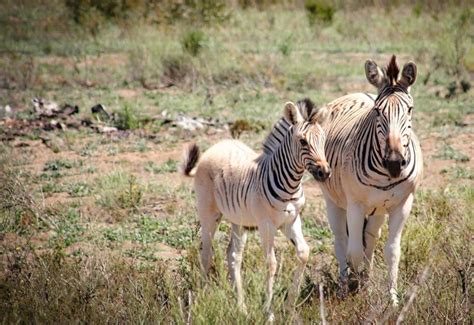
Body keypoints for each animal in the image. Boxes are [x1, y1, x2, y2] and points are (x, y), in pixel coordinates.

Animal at [180, 99, 332, 318]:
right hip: (209, 214)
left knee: (233, 255)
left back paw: (241, 306)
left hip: (239, 220)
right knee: (206, 254)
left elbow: (303, 253)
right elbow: (271, 263)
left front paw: (289, 306)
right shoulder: (266, 224)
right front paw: (268, 311)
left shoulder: (292, 221)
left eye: (323, 140)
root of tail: (218, 145)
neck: (291, 184)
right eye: (303, 141)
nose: (325, 172)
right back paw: (201, 300)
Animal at [318, 55, 422, 304]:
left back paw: (366, 278)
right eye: (377, 111)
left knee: (371, 240)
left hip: (378, 209)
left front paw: (392, 298)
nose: (394, 163)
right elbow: (354, 251)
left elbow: (392, 251)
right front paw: (354, 291)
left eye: (410, 110)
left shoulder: (403, 204)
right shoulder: (355, 204)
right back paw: (345, 285)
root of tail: (357, 92)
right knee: (341, 241)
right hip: (333, 201)